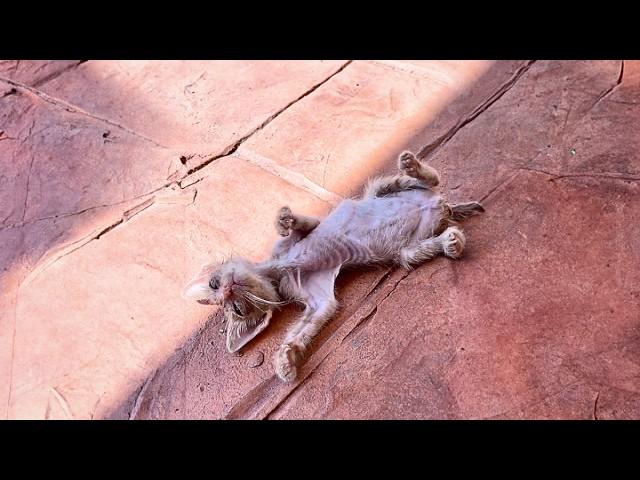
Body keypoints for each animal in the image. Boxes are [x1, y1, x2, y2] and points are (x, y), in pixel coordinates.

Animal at [185, 150, 484, 382]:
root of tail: (439, 204)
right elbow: (311, 321)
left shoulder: (302, 234)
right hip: (406, 251)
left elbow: (299, 225)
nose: (228, 290)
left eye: (214, 283)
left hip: (379, 190)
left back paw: (412, 167)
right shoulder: (318, 299)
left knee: (426, 180)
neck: (279, 269)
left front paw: (283, 220)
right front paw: (286, 357)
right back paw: (451, 241)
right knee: (417, 248)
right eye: (237, 308)